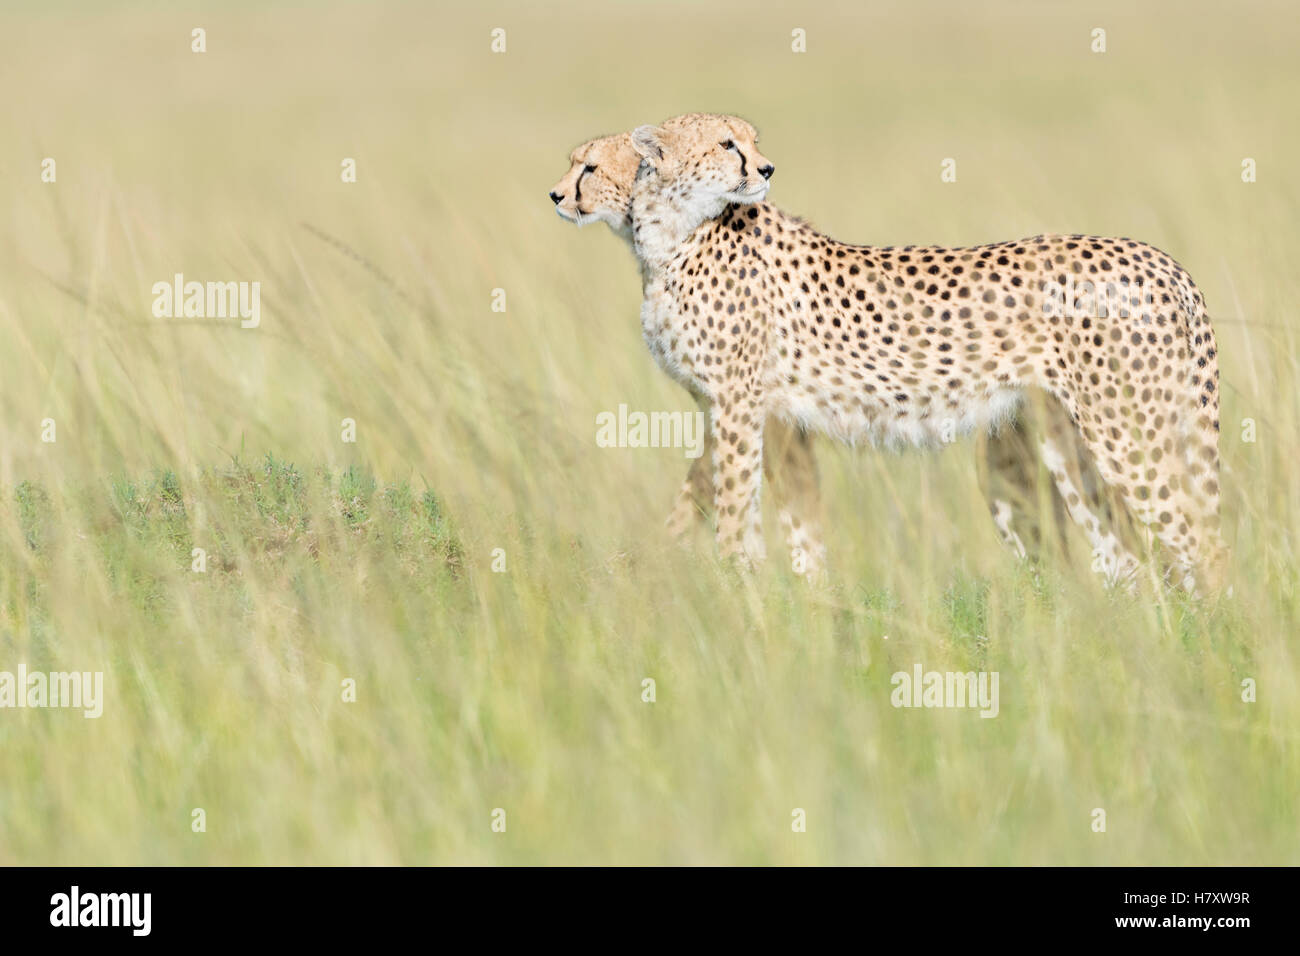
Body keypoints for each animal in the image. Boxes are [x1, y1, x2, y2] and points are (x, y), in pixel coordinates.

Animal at [624, 111, 1222, 590]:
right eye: (726, 144)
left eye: (749, 141)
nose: (767, 169)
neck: (674, 234)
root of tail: (1164, 261)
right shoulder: (751, 413)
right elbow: (753, 506)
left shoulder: (737, 405)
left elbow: (731, 506)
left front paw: (732, 589)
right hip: (1067, 441)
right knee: (1130, 558)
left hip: (1128, 433)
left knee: (1200, 543)